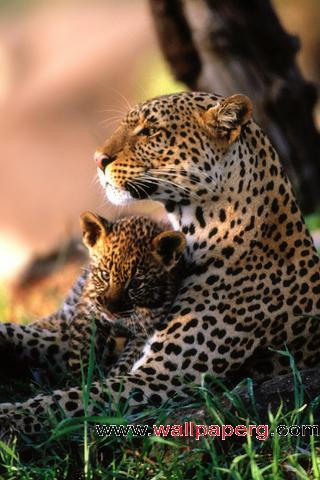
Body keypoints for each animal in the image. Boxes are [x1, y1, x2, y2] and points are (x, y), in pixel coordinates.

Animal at [1, 93, 320, 436]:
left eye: (149, 132)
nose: (97, 159)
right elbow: (28, 336)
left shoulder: (158, 379)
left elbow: (64, 401)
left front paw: (8, 417)